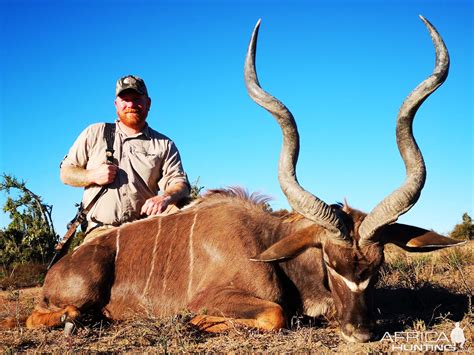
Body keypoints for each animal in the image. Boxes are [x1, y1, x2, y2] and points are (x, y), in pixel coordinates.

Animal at [13, 15, 462, 344]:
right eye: (329, 262)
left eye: (378, 263)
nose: (361, 331)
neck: (268, 244)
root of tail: (59, 268)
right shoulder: (223, 298)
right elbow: (276, 314)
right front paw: (192, 321)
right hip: (79, 291)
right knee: (43, 315)